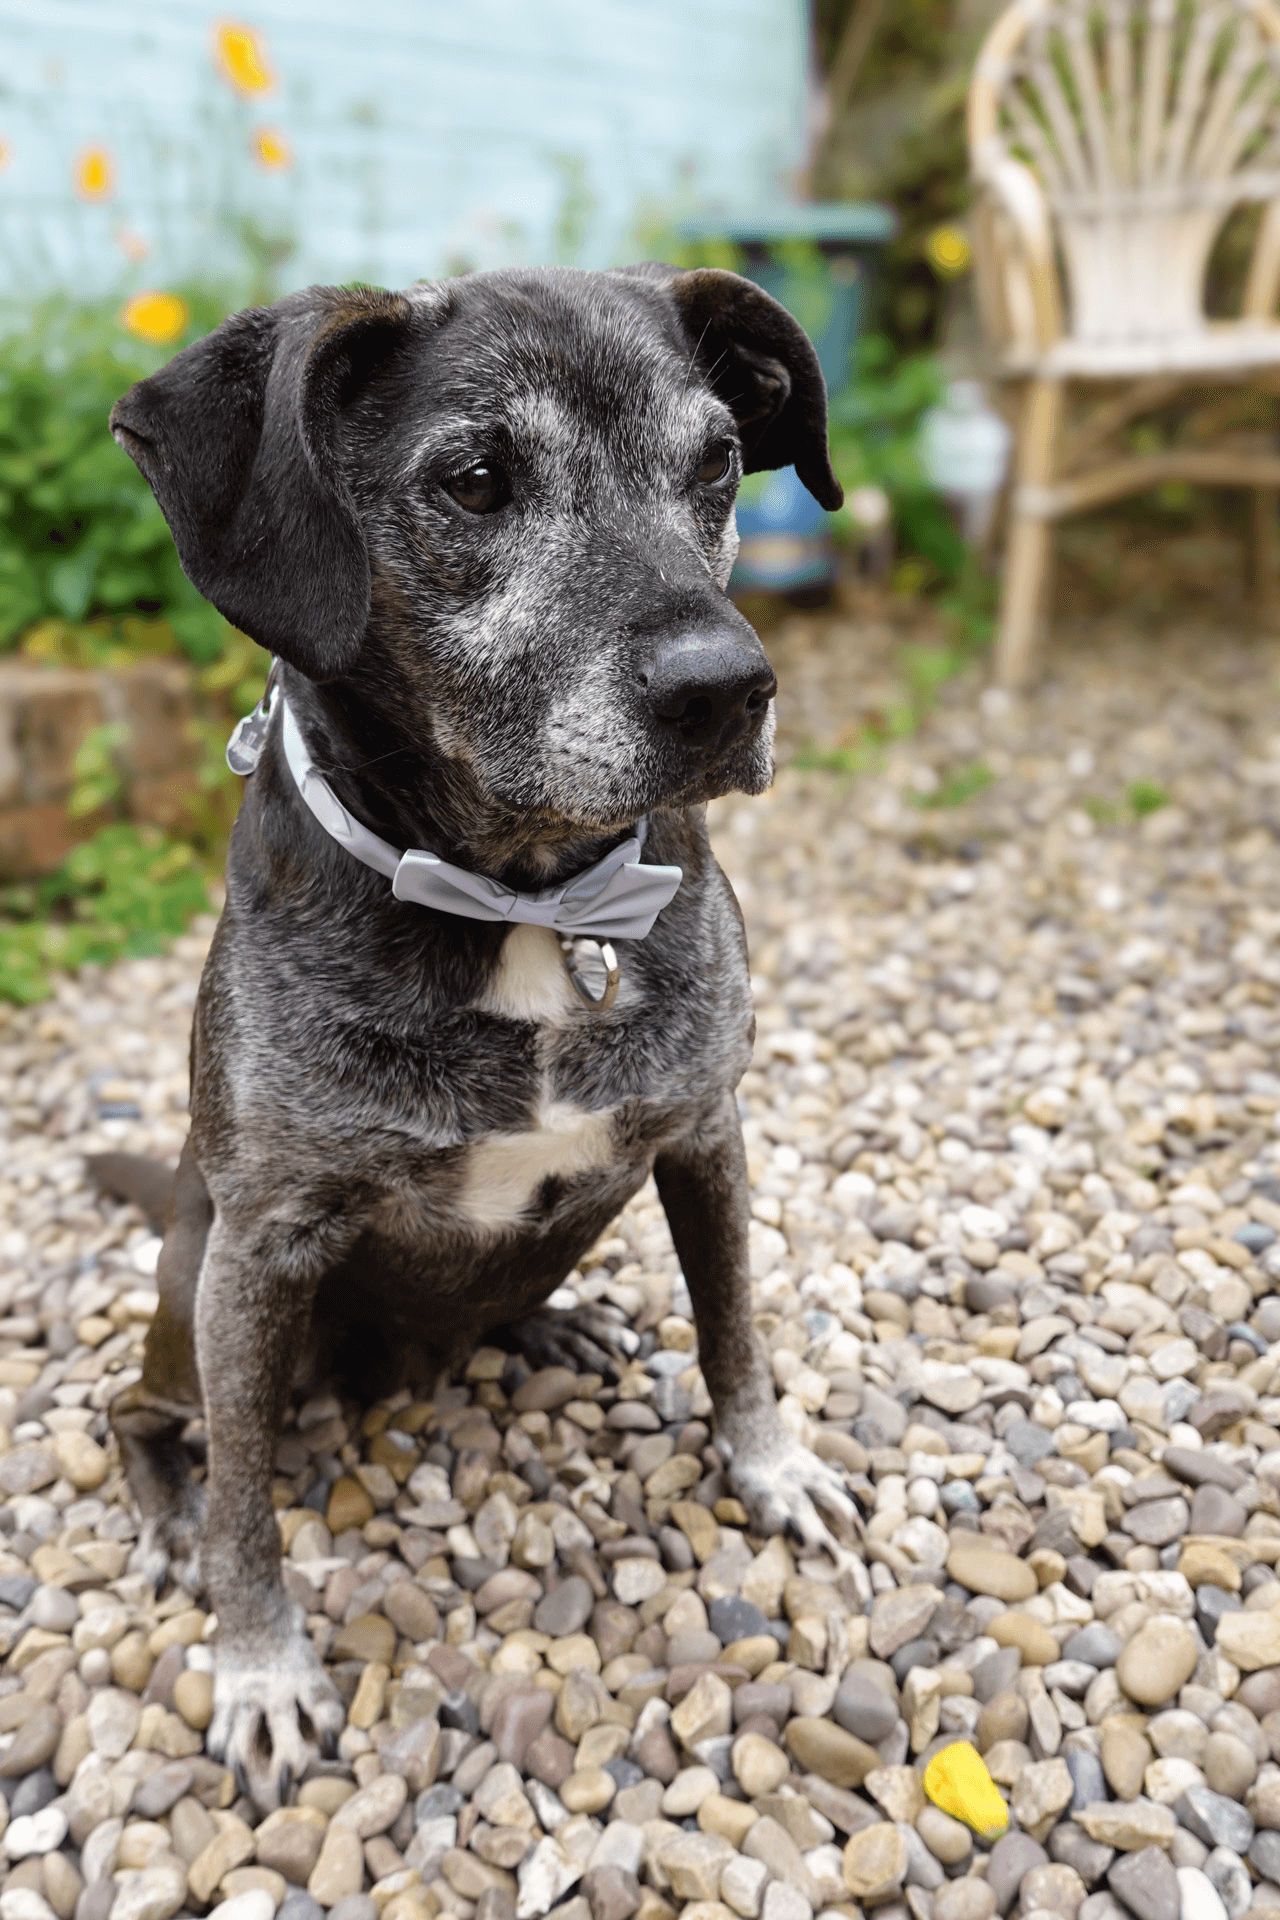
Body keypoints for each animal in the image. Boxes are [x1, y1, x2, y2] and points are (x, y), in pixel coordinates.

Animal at [100, 263, 859, 1804]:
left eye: (717, 462)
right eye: (474, 480)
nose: (725, 688)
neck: (528, 897)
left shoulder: (706, 1136)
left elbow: (735, 1330)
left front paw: (768, 1465)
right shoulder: (260, 1254)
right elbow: (249, 1512)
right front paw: (257, 1665)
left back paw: (550, 1325)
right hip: (191, 1288)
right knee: (140, 1420)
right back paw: (163, 1514)